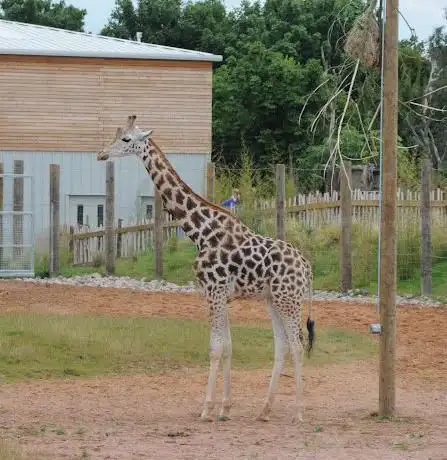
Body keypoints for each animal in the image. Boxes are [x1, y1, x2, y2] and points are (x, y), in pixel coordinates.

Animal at [97, 115, 316, 424]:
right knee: (282, 345)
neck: (200, 231)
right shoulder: (220, 295)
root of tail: (307, 267)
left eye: (126, 139)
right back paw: (264, 410)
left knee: (296, 345)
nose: (102, 154)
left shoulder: (214, 291)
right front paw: (224, 408)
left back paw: (298, 412)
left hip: (289, 299)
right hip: (273, 300)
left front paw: (206, 408)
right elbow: (228, 347)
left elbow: (215, 348)